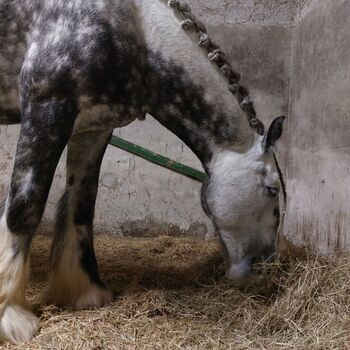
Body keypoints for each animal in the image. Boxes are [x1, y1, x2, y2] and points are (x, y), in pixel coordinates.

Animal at [0, 0, 284, 344]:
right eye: (272, 189)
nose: (264, 266)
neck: (135, 31)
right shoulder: (46, 110)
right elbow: (23, 208)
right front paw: (11, 316)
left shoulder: (93, 128)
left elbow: (81, 208)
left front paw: (83, 292)